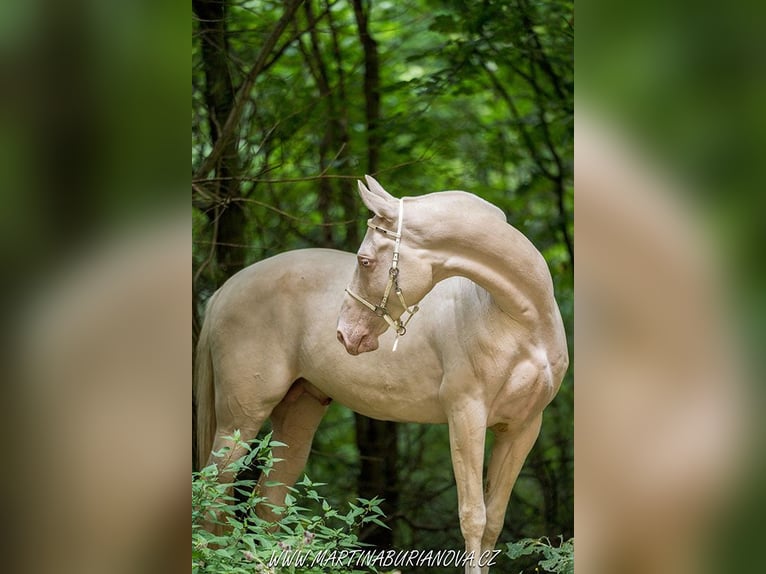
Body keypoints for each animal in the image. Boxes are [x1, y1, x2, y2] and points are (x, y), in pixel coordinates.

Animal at [198, 177, 568, 574]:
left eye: (364, 260)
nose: (345, 334)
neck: (517, 321)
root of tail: (224, 290)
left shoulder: (522, 429)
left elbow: (494, 522)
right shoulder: (466, 417)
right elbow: (474, 517)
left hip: (297, 416)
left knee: (268, 504)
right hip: (240, 419)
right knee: (214, 490)